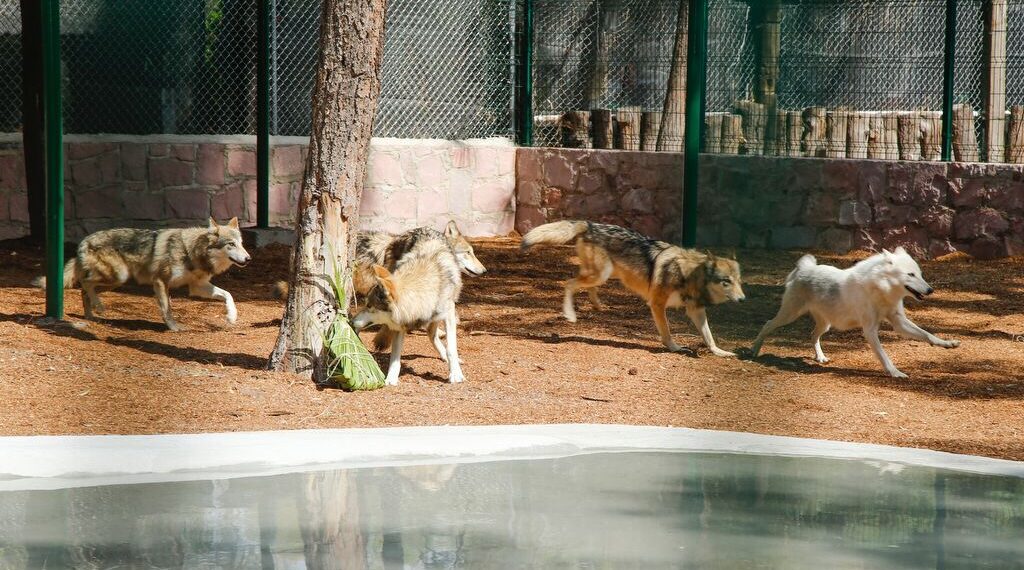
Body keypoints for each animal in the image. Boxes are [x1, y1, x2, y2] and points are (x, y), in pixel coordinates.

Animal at [34, 218, 250, 331]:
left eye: (241, 243)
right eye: (231, 244)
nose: (248, 258)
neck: (191, 251)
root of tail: (83, 241)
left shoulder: (198, 287)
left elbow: (228, 295)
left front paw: (232, 316)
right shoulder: (161, 281)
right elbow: (167, 309)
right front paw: (174, 327)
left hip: (116, 282)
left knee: (84, 290)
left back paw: (91, 315)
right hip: (118, 277)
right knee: (84, 283)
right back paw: (99, 307)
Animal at [350, 227, 466, 385]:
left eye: (369, 306)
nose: (351, 321)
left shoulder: (448, 313)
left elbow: (451, 348)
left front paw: (455, 374)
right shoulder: (401, 326)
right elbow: (395, 358)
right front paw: (391, 379)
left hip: (438, 315)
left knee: (432, 334)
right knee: (430, 334)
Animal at [521, 220, 746, 356]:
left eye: (739, 281)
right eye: (726, 281)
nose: (743, 299)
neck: (689, 274)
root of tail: (589, 224)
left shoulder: (696, 311)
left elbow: (709, 337)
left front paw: (720, 352)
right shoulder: (657, 304)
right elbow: (667, 332)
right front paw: (675, 348)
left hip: (607, 275)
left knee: (584, 285)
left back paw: (597, 305)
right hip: (602, 274)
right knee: (569, 283)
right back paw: (570, 314)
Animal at [749, 247, 960, 378]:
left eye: (920, 274)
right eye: (911, 275)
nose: (931, 290)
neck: (880, 289)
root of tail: (805, 267)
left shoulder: (899, 323)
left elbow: (928, 335)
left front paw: (948, 343)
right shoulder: (870, 330)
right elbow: (884, 356)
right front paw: (895, 372)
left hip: (825, 324)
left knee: (812, 335)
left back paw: (820, 357)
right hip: (789, 315)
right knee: (768, 324)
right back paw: (753, 351)